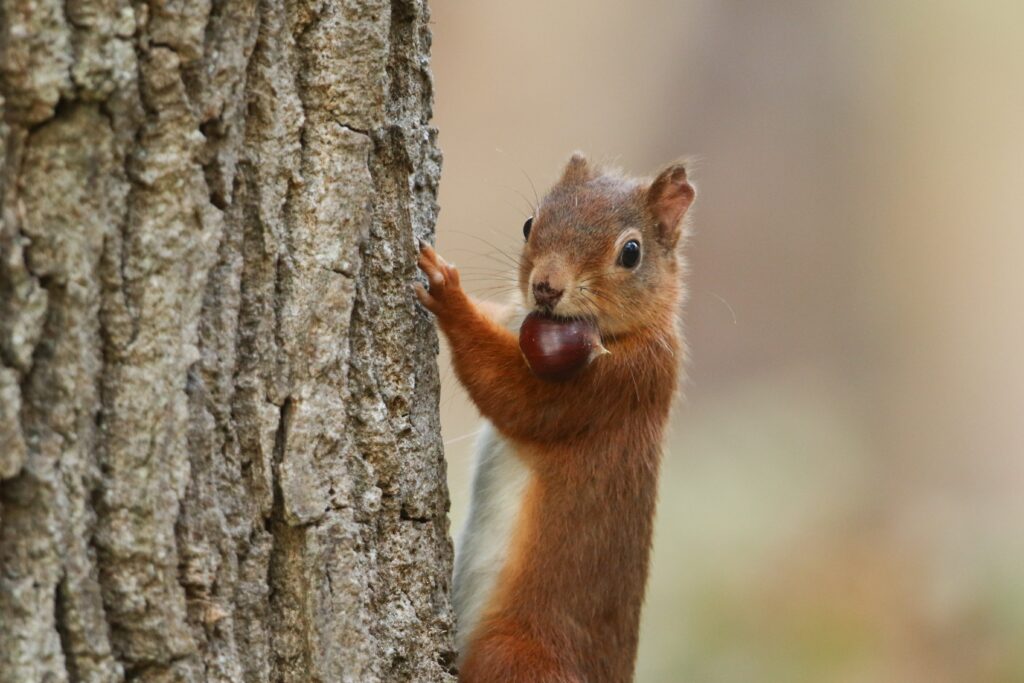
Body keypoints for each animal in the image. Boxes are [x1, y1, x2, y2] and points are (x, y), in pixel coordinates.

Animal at [415, 153, 695, 683]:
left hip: (512, 654)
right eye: (530, 224)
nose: (545, 287)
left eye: (631, 252)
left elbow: (516, 398)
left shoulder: (612, 386)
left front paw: (449, 295)